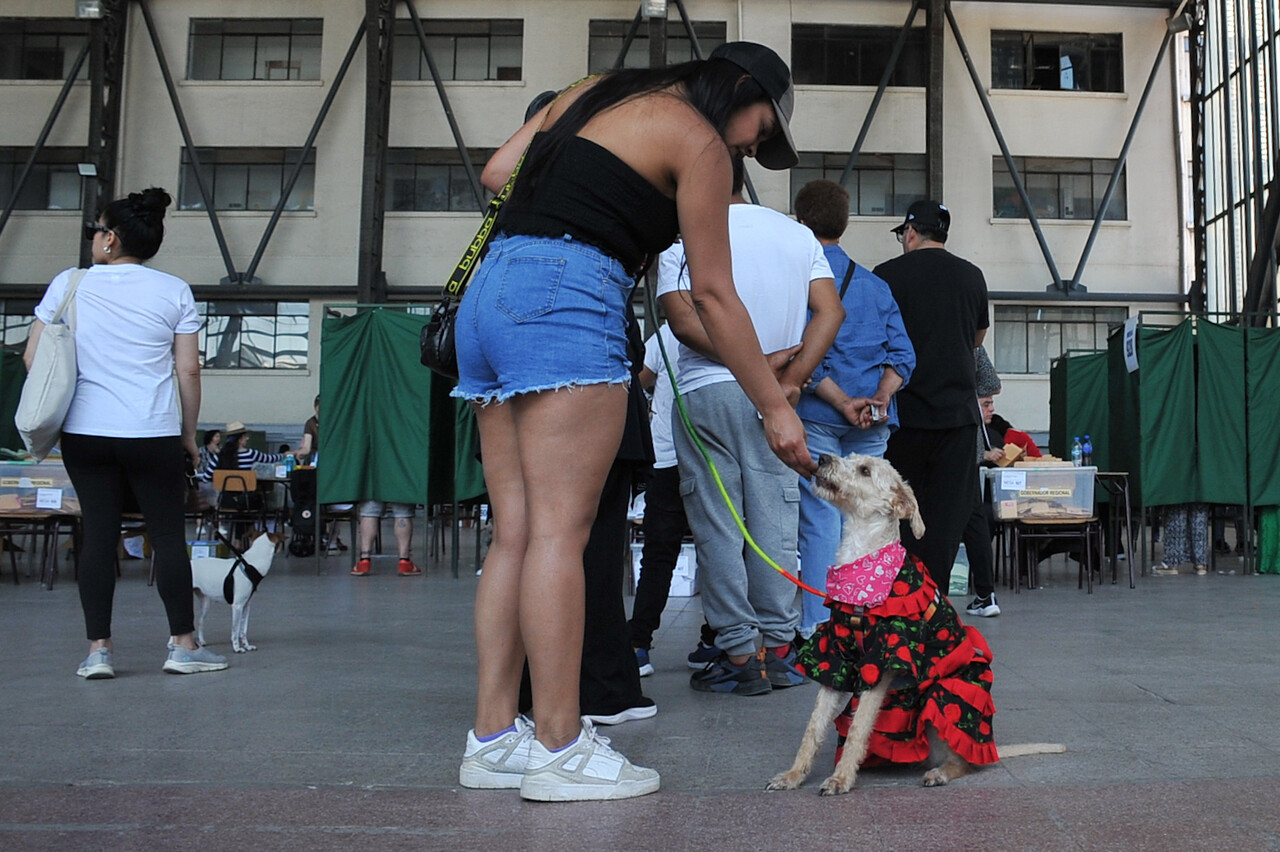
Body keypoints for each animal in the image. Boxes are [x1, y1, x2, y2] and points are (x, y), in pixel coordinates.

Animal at [768, 455, 1059, 793]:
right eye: (849, 458)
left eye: (865, 470)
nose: (823, 458)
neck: (862, 566)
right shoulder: (835, 656)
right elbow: (814, 727)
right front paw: (794, 774)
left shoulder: (882, 662)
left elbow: (858, 728)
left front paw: (841, 777)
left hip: (945, 695)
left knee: (966, 760)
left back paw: (942, 772)